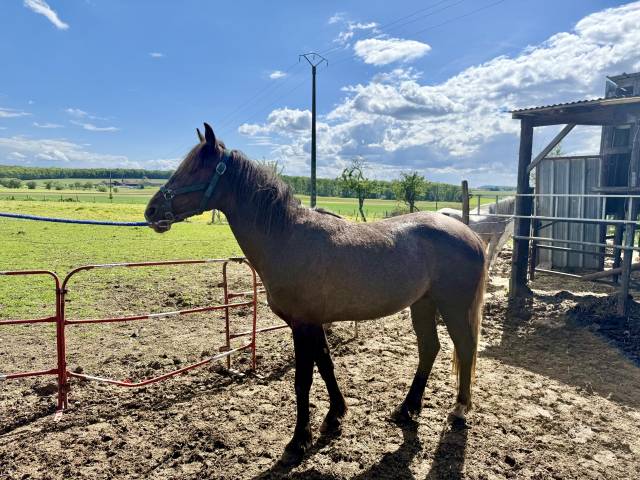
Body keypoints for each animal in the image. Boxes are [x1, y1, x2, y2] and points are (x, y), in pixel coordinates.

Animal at [144, 123, 487, 464]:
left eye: (194, 168)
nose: (152, 211)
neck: (287, 236)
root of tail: (469, 233)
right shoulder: (315, 323)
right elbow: (326, 364)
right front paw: (335, 416)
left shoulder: (302, 324)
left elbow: (303, 380)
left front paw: (298, 441)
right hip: (423, 304)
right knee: (429, 348)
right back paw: (407, 409)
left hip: (454, 308)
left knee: (465, 348)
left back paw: (459, 409)